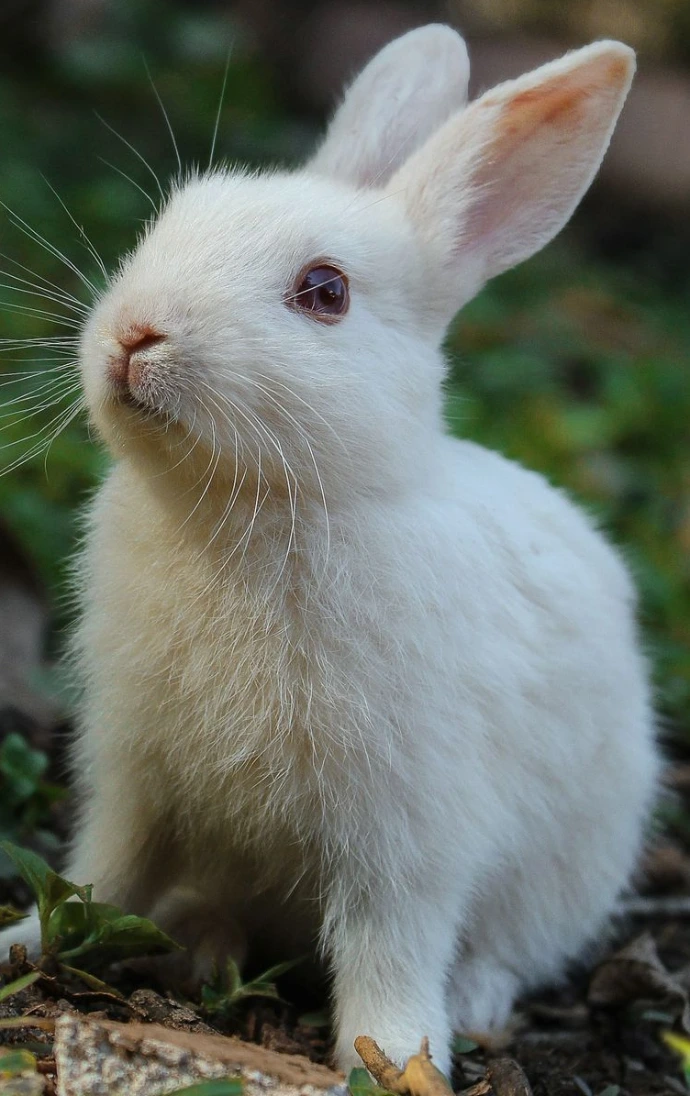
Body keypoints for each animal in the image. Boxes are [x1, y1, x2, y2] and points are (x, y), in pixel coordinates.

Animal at [1, 25, 658, 1077]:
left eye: (325, 292)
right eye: (168, 223)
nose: (135, 335)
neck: (250, 510)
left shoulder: (406, 827)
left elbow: (391, 941)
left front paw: (389, 1059)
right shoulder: (135, 775)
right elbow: (104, 874)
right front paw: (23, 941)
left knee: (508, 949)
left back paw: (470, 1002)